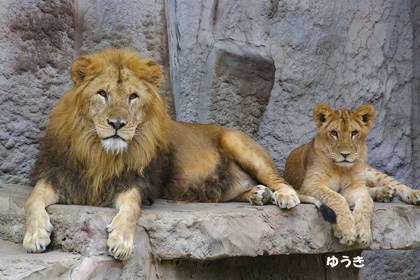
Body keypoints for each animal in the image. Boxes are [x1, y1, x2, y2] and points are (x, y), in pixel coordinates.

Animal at [23, 48, 332, 260]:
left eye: (133, 96)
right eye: (102, 93)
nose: (117, 124)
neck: (100, 153)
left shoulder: (138, 183)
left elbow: (131, 207)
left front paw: (120, 240)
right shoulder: (60, 174)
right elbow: (33, 199)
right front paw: (35, 236)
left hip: (239, 143)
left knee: (282, 181)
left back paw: (282, 195)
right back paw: (258, 194)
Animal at [284, 104, 420, 246]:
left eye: (354, 133)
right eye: (334, 133)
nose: (345, 154)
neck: (340, 169)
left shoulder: (355, 187)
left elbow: (366, 201)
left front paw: (364, 232)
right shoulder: (311, 184)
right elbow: (336, 197)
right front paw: (347, 231)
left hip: (370, 172)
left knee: (392, 184)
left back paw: (412, 194)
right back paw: (384, 193)